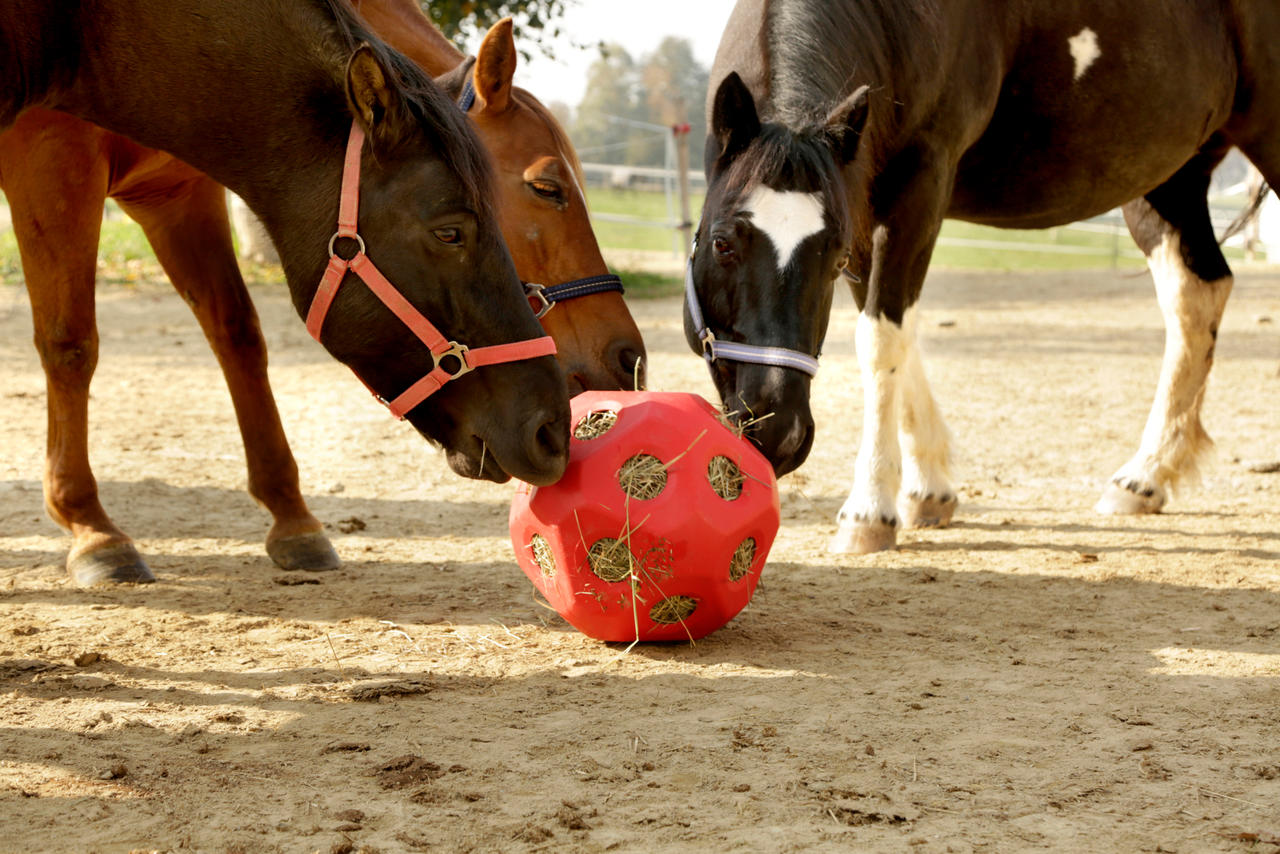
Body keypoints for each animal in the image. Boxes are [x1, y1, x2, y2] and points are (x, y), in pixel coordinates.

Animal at [0, 0, 570, 583]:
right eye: (450, 232)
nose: (552, 430)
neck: (81, 27)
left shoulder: (172, 193)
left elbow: (238, 334)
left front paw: (293, 519)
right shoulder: (52, 165)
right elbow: (71, 344)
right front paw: (93, 530)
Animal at [691, 0, 1280, 555]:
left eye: (832, 259)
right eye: (721, 243)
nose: (779, 431)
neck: (898, 19)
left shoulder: (918, 187)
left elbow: (882, 340)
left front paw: (869, 512)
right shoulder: (864, 201)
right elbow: (893, 334)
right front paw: (929, 490)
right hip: (1171, 179)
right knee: (1197, 296)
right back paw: (1146, 476)